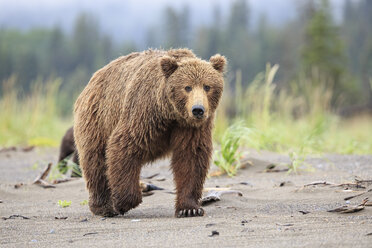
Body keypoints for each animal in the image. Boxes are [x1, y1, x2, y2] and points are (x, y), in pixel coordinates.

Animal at [73, 48, 225, 217]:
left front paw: (190, 208)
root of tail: (92, 81)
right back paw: (104, 207)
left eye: (207, 86)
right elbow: (124, 146)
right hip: (98, 120)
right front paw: (123, 202)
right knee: (96, 162)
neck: (170, 113)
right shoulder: (144, 112)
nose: (198, 109)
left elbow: (191, 158)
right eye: (187, 87)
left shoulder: (190, 127)